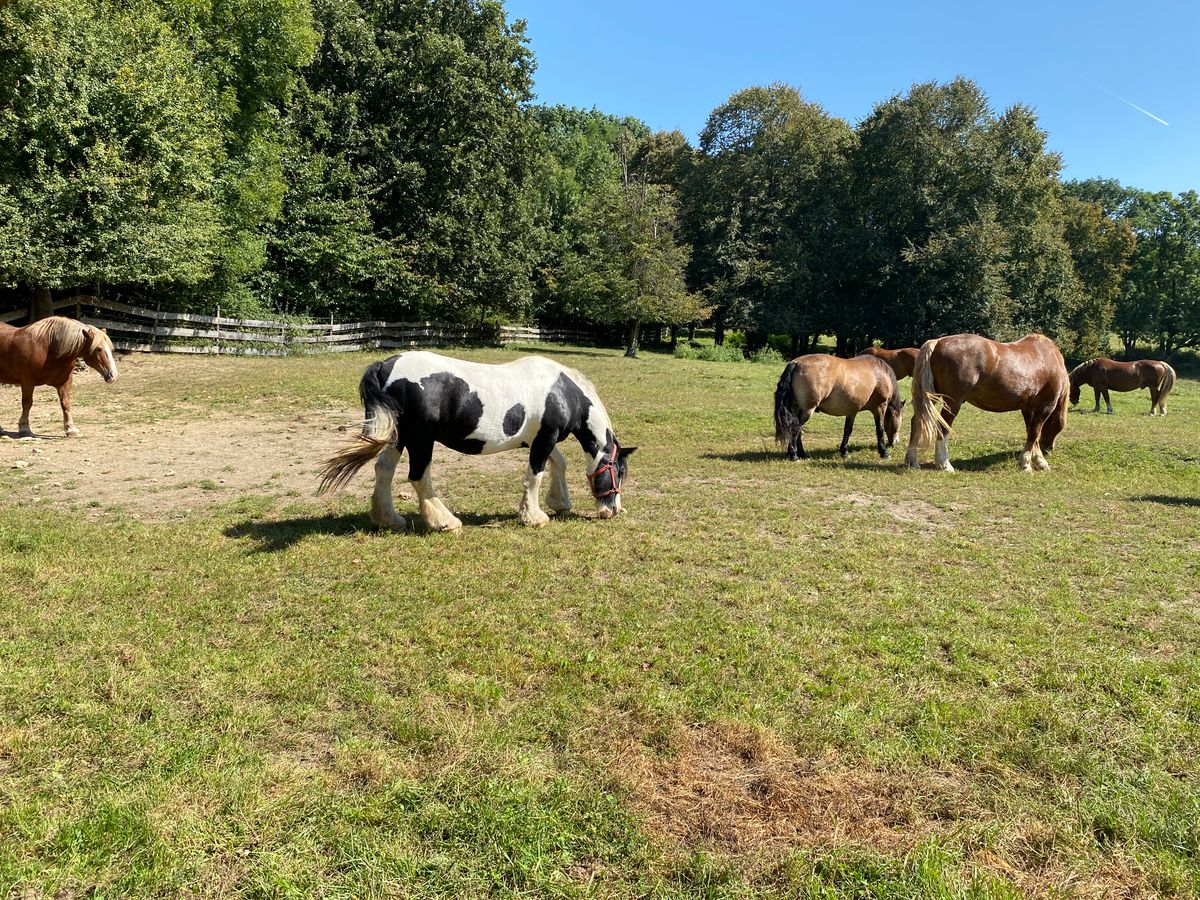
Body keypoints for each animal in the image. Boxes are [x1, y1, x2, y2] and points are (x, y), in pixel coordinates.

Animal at [319, 350, 638, 535]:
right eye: (619, 471)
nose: (612, 511)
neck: (562, 392)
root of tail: (387, 365)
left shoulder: (537, 441)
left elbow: (559, 463)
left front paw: (559, 503)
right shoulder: (543, 439)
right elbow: (534, 476)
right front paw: (533, 517)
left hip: (399, 437)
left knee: (383, 470)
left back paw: (388, 519)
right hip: (420, 440)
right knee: (419, 476)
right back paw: (445, 522)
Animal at [772, 355, 902, 460]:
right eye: (900, 419)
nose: (895, 442)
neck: (880, 373)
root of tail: (796, 363)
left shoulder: (852, 411)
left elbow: (847, 430)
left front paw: (844, 452)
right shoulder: (880, 406)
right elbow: (880, 429)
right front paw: (884, 452)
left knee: (797, 428)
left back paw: (802, 454)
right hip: (807, 410)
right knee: (796, 428)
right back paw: (794, 455)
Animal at [902, 331, 1065, 472]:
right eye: (1057, 426)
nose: (1048, 448)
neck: (1049, 357)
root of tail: (937, 342)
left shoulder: (1028, 408)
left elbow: (1032, 434)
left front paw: (1038, 460)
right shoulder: (1045, 407)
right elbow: (1034, 433)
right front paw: (1027, 464)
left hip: (931, 397)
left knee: (917, 421)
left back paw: (912, 461)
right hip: (953, 403)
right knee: (943, 427)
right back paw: (944, 464)